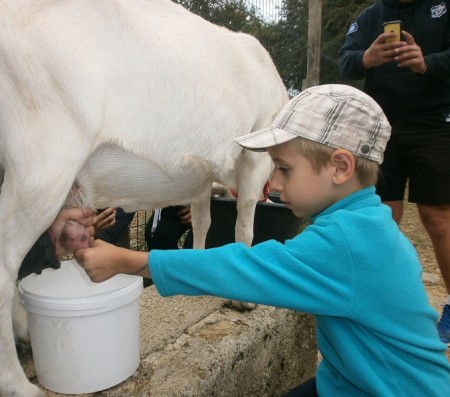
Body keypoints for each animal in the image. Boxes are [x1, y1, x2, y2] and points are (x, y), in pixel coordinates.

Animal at [0, 0, 288, 396]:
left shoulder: (201, 179)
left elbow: (203, 222)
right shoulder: (255, 155)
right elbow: (244, 226)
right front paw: (243, 299)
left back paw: (26, 334)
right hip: (43, 162)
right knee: (5, 264)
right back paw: (18, 384)